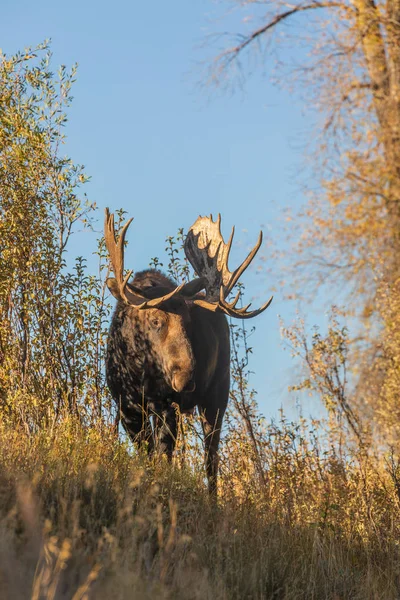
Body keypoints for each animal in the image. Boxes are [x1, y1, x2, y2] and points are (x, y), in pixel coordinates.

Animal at [103, 209, 272, 494]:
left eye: (189, 320)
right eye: (154, 320)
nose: (186, 378)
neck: (142, 373)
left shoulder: (167, 405)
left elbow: (163, 456)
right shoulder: (127, 406)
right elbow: (148, 453)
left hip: (217, 396)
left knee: (211, 458)